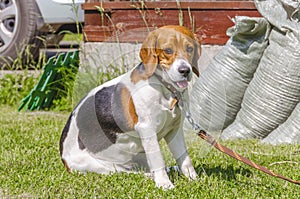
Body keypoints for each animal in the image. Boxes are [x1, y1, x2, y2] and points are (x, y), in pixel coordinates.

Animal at [59, 25, 200, 189]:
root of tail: (64, 157)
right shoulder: (147, 129)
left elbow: (185, 159)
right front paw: (164, 184)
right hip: (101, 166)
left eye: (189, 48)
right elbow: (158, 159)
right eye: (168, 50)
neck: (164, 88)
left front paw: (193, 179)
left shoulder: (174, 130)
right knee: (126, 172)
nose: (185, 71)